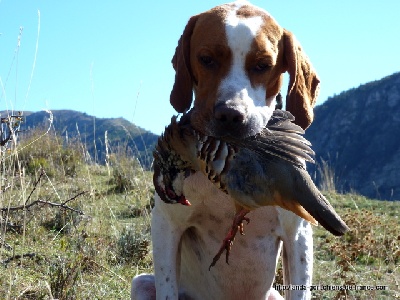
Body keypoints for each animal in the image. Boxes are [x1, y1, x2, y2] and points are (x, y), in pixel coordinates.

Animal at [131, 1, 318, 298]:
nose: (231, 115)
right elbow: (167, 286)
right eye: (206, 59)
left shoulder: (297, 233)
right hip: (141, 283)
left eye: (263, 65)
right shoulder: (166, 224)